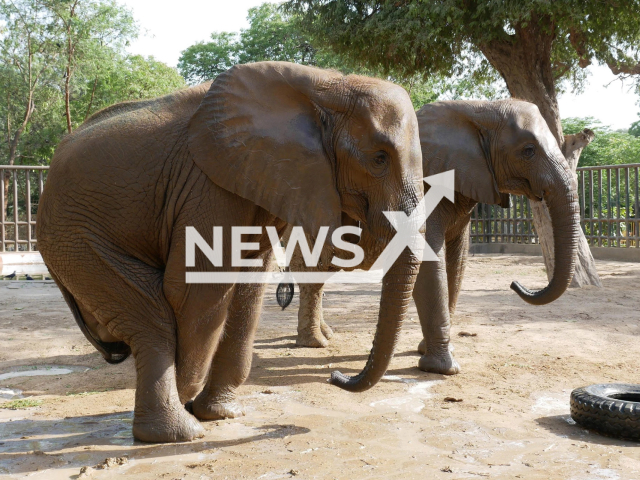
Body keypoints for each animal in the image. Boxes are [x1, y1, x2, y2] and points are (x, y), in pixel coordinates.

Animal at [35, 62, 424, 444]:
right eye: (379, 159)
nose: (336, 375)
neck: (326, 84)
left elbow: (249, 286)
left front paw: (220, 414)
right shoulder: (205, 186)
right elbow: (196, 289)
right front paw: (190, 402)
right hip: (73, 237)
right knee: (152, 319)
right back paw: (175, 434)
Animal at [284, 98, 580, 376]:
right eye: (528, 151)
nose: (515, 283)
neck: (478, 110)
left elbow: (458, 261)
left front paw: (425, 350)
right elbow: (429, 261)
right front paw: (443, 369)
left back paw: (324, 335)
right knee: (313, 270)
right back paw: (315, 343)